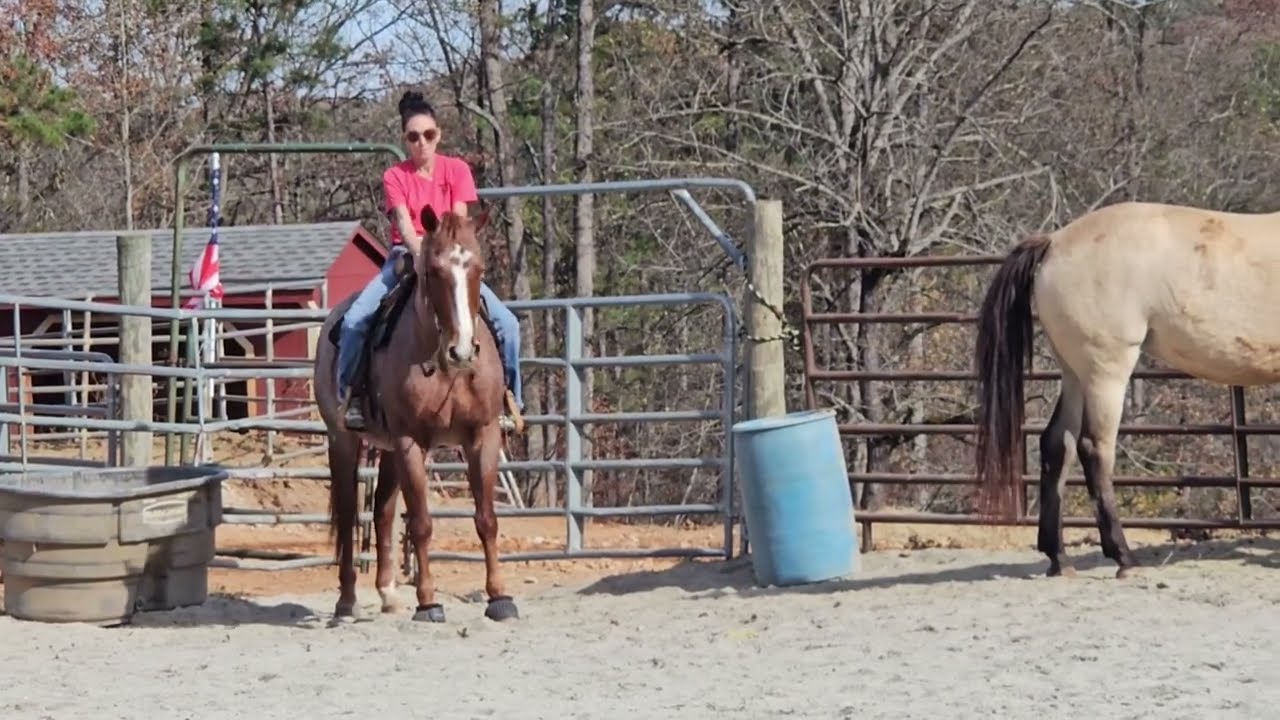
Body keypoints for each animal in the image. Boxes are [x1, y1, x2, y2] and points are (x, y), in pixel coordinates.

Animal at [312, 205, 518, 624]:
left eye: (479, 269)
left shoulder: (483, 435)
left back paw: (388, 594)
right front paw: (428, 602)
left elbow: (486, 519)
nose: (462, 351)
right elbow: (421, 523)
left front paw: (499, 597)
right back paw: (346, 602)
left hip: (389, 448)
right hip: (344, 441)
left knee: (382, 512)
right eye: (433, 271)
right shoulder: (411, 441)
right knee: (348, 514)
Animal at [973, 200, 1280, 578]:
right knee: (1095, 449)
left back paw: (1059, 560)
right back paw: (1124, 559)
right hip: (1106, 372)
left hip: (1075, 374)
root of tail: (1054, 241)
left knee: (1058, 444)